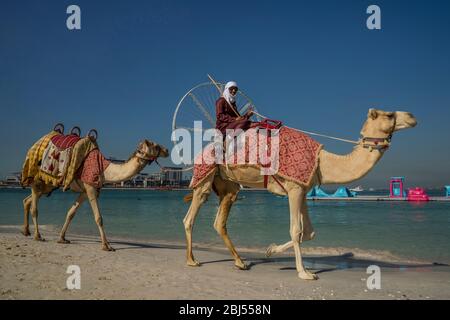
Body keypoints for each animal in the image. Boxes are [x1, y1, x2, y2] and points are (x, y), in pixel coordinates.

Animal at [21, 139, 169, 251]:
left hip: (49, 185)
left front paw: (62, 238)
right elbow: (99, 217)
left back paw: (26, 231)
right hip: (37, 179)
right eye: (156, 146)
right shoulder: (91, 187)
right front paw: (106, 246)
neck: (105, 170)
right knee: (34, 206)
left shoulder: (85, 191)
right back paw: (38, 235)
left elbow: (71, 213)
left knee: (27, 200)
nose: (167, 150)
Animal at [183, 110, 418, 280]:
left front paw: (270, 250)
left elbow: (310, 233)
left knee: (219, 221)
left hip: (229, 186)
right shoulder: (294, 188)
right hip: (205, 177)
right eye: (390, 115)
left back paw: (240, 262)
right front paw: (304, 272)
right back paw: (192, 260)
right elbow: (296, 230)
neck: (322, 162)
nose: (412, 116)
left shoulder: (303, 189)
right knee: (190, 216)